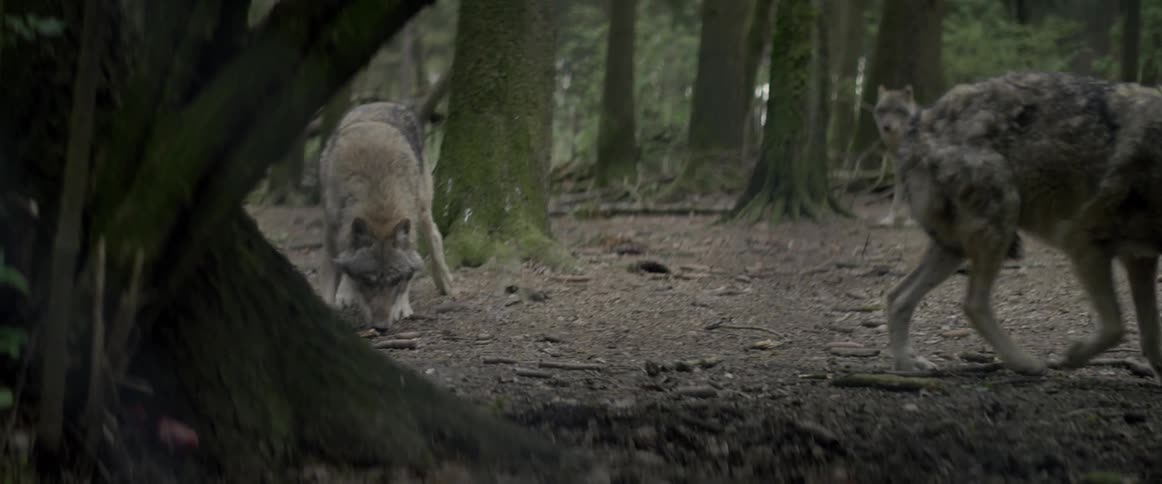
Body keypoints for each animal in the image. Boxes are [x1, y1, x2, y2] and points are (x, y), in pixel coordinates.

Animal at [318, 101, 456, 330]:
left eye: (394, 281)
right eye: (368, 280)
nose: (381, 327)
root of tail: (383, 103)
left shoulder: (408, 222)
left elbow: (412, 264)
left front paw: (402, 306)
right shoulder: (331, 229)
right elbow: (332, 272)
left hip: (422, 207)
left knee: (435, 237)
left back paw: (446, 283)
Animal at [874, 71, 1162, 380]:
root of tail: (921, 123)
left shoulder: (1140, 259)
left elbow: (1150, 337)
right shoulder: (1083, 242)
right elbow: (1116, 327)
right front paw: (1071, 356)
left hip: (955, 249)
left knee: (897, 297)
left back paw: (907, 364)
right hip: (999, 225)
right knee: (972, 303)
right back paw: (1025, 363)